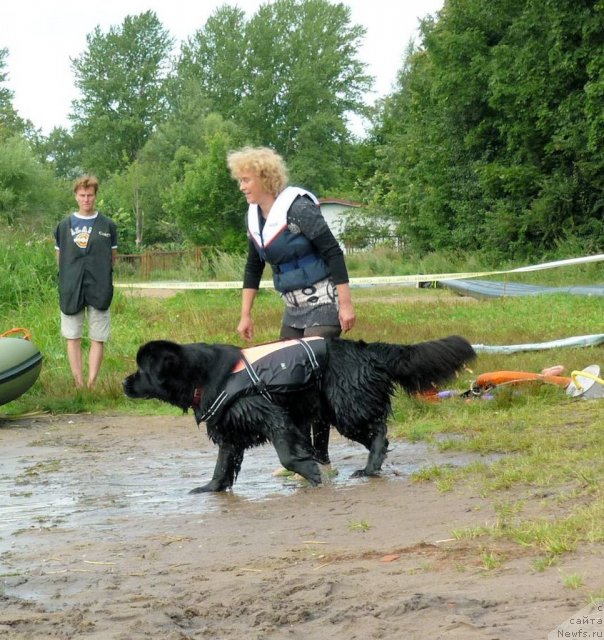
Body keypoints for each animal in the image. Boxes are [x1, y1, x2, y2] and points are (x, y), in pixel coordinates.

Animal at [122, 332, 474, 492]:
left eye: (142, 370)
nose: (125, 382)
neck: (202, 376)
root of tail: (368, 349)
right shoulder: (231, 431)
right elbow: (222, 465)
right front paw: (210, 488)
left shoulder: (273, 415)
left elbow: (287, 455)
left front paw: (312, 473)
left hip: (346, 406)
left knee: (378, 432)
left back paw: (369, 468)